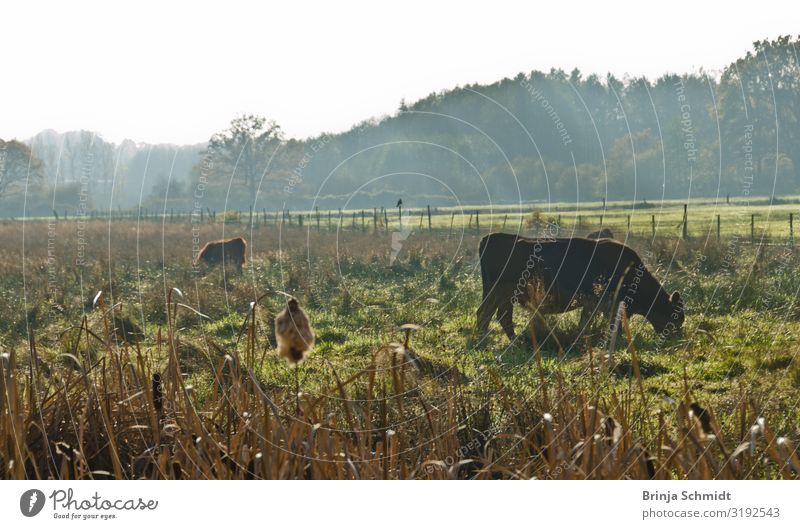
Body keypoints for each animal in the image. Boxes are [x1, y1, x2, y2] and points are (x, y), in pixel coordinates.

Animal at [478, 231, 684, 342]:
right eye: (676, 316)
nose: (677, 336)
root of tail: (490, 238)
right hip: (503, 294)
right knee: (499, 315)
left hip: (495, 294)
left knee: (487, 313)